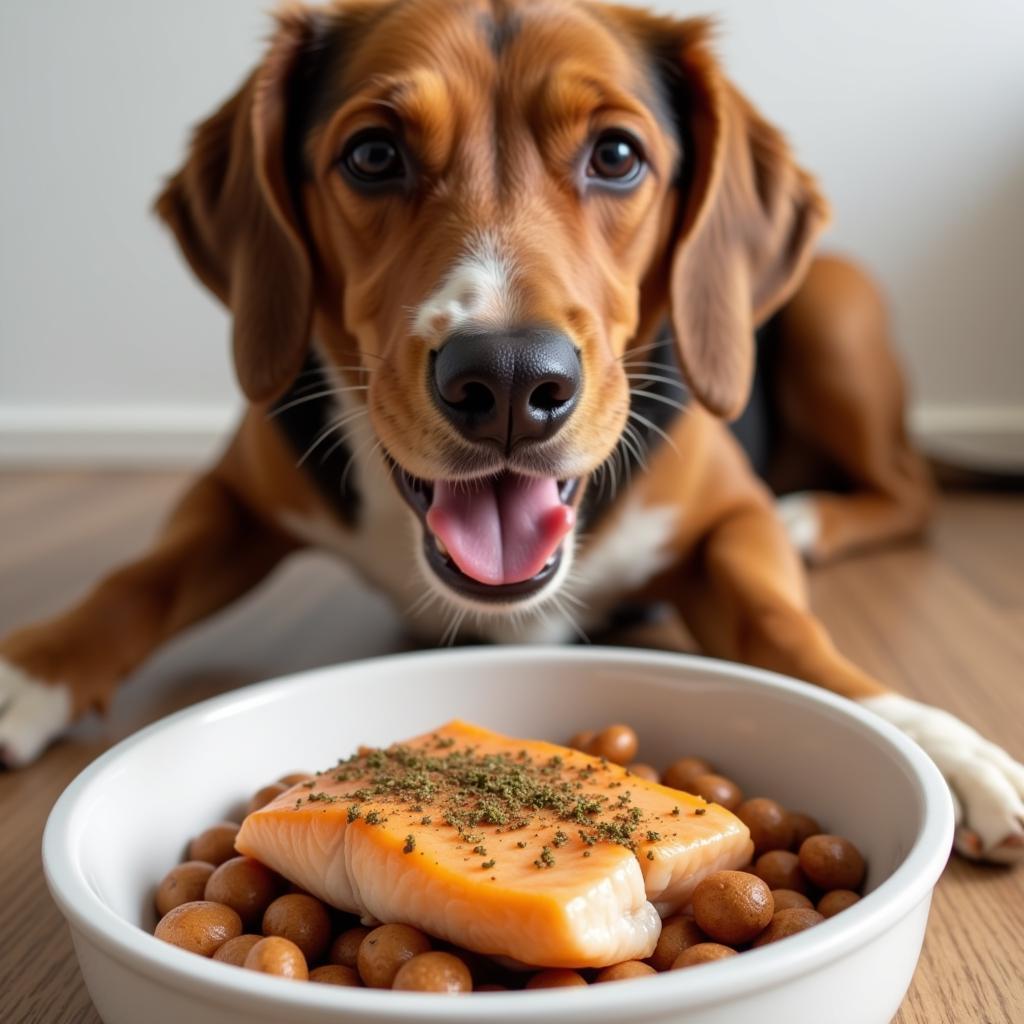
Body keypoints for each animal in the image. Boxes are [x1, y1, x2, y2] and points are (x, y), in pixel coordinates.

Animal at [0, 0, 1019, 864]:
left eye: (617, 154)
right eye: (373, 155)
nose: (510, 381)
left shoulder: (732, 516)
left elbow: (786, 626)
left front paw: (934, 743)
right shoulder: (235, 493)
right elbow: (135, 581)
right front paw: (33, 668)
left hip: (839, 306)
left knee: (911, 491)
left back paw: (812, 516)